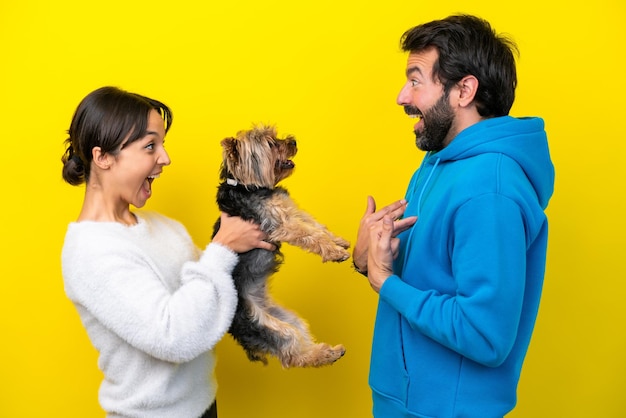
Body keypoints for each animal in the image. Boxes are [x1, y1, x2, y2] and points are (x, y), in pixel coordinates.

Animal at [212, 125, 348, 370]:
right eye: (270, 144)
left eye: (276, 136)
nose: (293, 141)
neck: (249, 186)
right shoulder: (281, 224)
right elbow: (310, 234)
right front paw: (334, 252)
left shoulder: (292, 211)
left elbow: (316, 226)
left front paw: (338, 241)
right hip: (264, 324)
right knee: (292, 354)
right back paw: (325, 355)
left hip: (287, 318)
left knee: (300, 340)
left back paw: (330, 352)